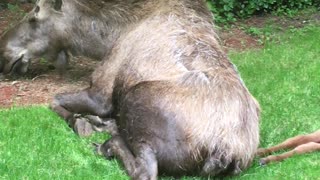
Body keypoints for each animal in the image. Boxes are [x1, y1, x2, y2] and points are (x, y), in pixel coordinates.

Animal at [0, 0, 260, 179]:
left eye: (35, 16)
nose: (3, 52)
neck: (107, 38)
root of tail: (227, 152)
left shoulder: (101, 93)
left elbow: (53, 100)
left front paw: (80, 122)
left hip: (137, 97)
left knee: (144, 170)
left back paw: (107, 143)